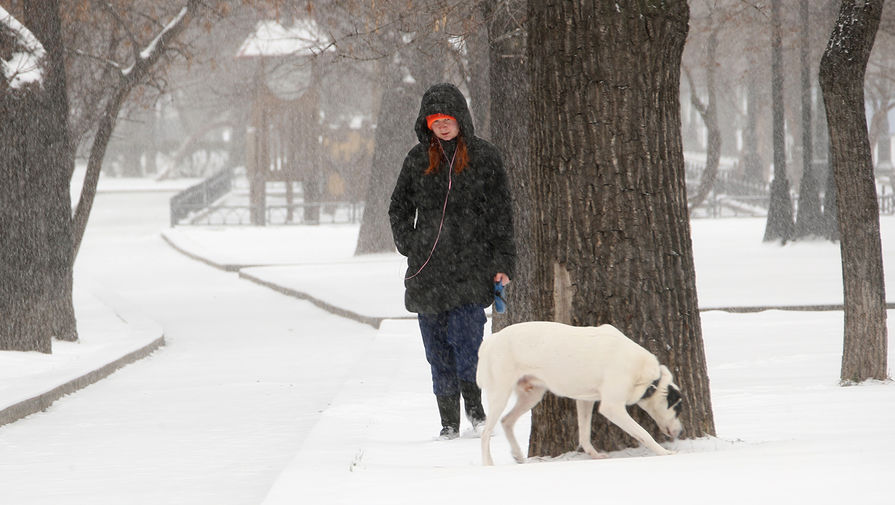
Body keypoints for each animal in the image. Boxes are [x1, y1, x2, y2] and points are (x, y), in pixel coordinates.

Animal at [480, 322, 684, 464]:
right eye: (678, 409)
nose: (681, 431)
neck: (646, 376)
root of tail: (491, 340)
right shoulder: (612, 407)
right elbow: (643, 433)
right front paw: (664, 452)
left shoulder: (585, 400)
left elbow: (584, 435)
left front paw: (594, 455)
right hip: (500, 394)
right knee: (486, 432)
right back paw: (488, 463)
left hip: (532, 396)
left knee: (506, 421)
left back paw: (518, 455)